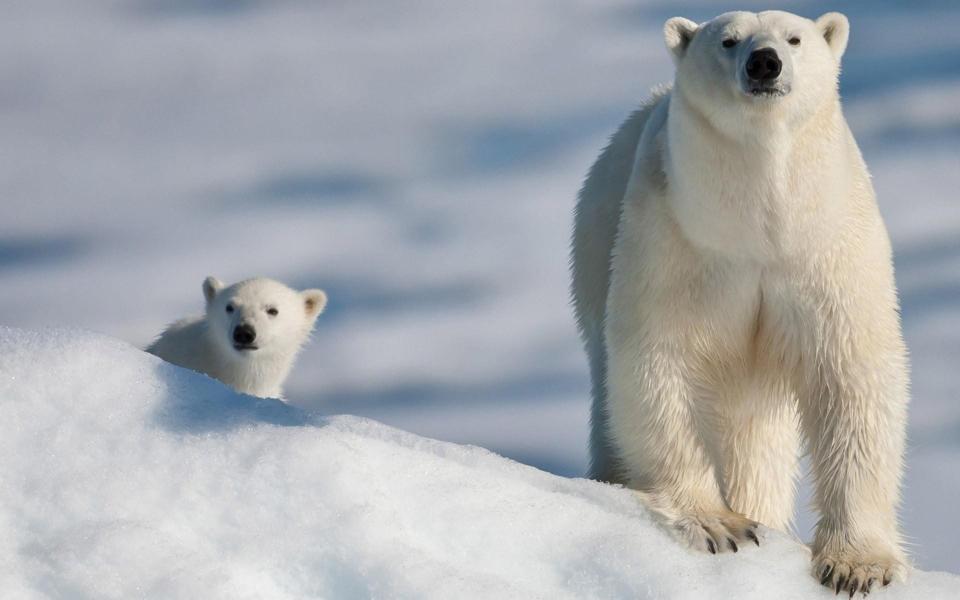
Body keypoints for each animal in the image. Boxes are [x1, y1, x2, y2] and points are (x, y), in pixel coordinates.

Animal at [568, 9, 908, 596]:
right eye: (728, 41)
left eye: (794, 38)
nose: (764, 62)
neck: (759, 224)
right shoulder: (677, 240)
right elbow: (660, 362)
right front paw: (719, 525)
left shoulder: (827, 246)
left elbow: (851, 375)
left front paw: (856, 564)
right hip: (594, 250)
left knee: (756, 437)